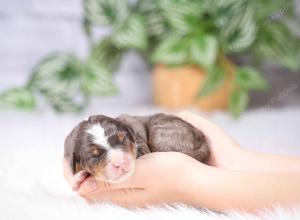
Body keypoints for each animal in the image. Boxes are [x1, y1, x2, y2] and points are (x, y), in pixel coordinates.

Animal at [64, 112, 210, 190]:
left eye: (122, 139)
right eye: (94, 156)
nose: (121, 163)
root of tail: (201, 137)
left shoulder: (141, 143)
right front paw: (79, 175)